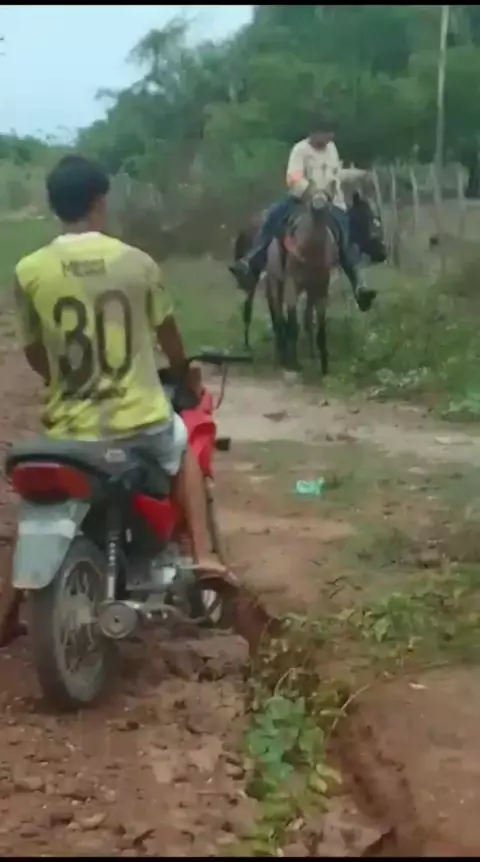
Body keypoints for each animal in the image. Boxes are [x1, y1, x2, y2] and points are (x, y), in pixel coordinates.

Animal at [234, 191, 386, 360]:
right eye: (369, 219)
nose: (383, 252)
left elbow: (305, 317)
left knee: (275, 313)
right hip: (265, 282)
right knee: (254, 309)